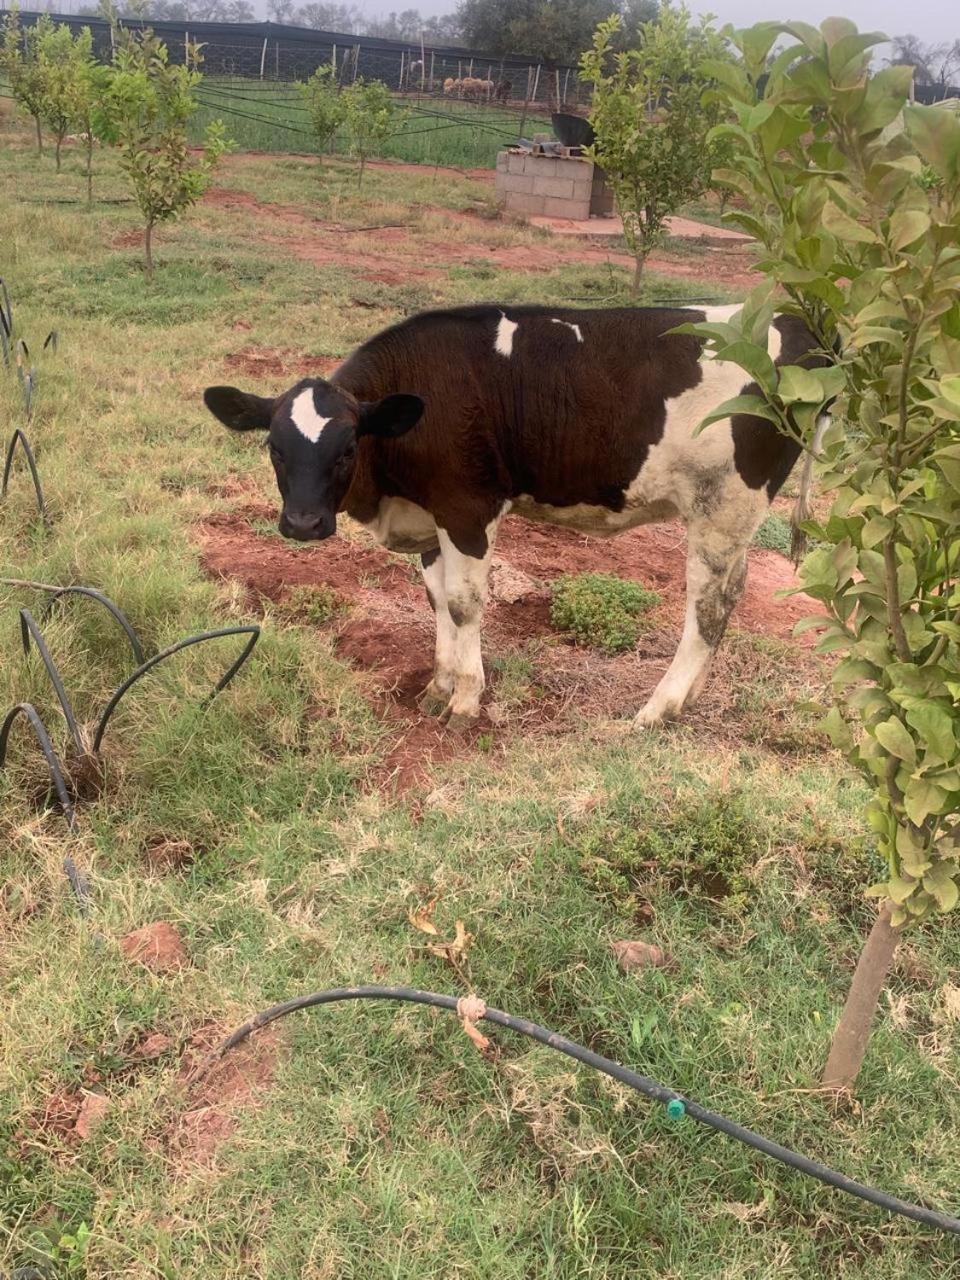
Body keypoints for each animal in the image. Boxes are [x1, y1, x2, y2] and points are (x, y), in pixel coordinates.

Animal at [204, 296, 829, 721]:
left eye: (347, 448)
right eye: (274, 447)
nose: (302, 523)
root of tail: (800, 326)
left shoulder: (468, 508)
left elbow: (463, 604)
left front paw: (464, 701)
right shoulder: (432, 515)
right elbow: (436, 598)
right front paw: (436, 687)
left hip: (722, 506)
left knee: (709, 606)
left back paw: (659, 709)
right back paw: (688, 698)